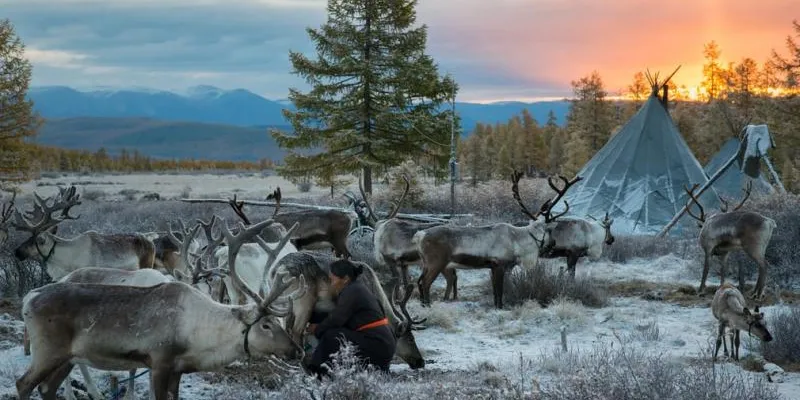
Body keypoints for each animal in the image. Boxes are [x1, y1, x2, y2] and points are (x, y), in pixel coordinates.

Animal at [16, 216, 306, 400]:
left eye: (279, 322)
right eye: (266, 324)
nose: (298, 350)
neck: (200, 332)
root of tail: (29, 297)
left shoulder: (178, 369)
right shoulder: (159, 361)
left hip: (65, 358)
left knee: (46, 389)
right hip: (47, 352)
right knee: (24, 385)